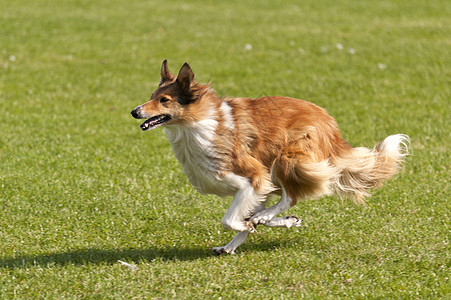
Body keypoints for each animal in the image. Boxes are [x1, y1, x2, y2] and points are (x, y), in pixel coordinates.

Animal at [131, 59, 410, 254]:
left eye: (165, 100)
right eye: (151, 97)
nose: (135, 111)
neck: (198, 125)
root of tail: (332, 127)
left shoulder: (253, 178)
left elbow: (229, 220)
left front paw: (250, 223)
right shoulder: (255, 187)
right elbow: (243, 218)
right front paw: (270, 223)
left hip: (288, 160)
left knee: (290, 197)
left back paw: (263, 219)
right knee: (278, 205)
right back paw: (244, 239)